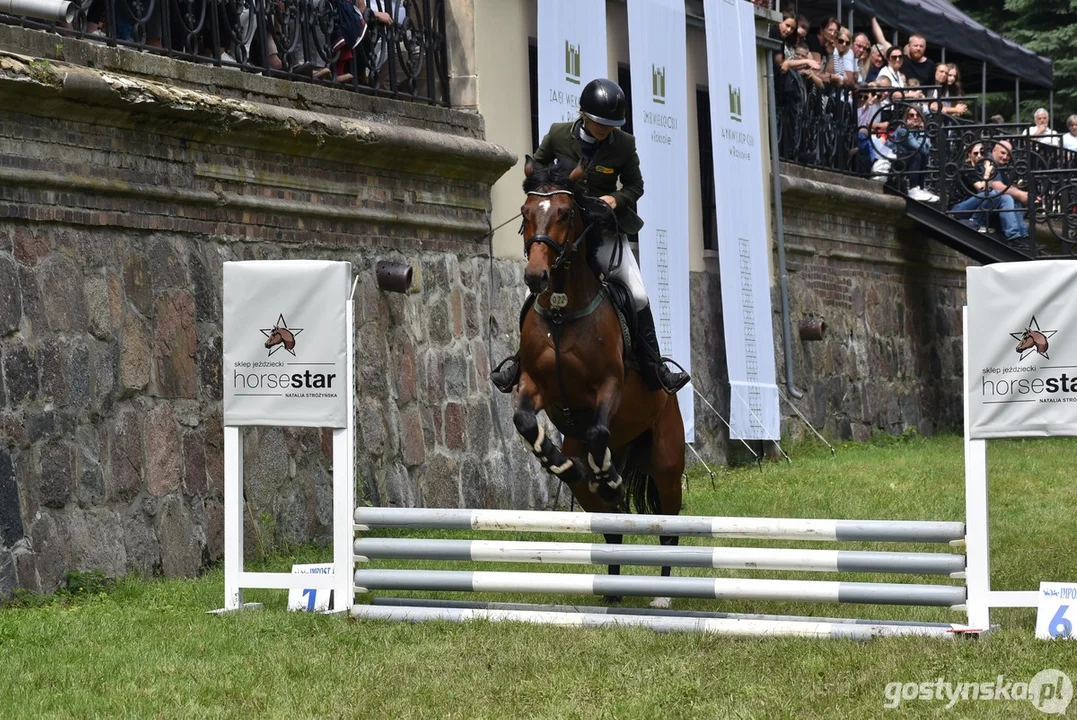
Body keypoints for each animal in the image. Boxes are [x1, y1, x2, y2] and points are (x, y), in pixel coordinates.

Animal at [510, 158, 680, 606]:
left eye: (565, 214)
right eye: (525, 213)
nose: (536, 276)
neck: (561, 312)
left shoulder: (609, 387)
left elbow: (600, 428)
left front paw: (607, 475)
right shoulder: (535, 384)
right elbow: (525, 422)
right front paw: (560, 464)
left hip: (666, 461)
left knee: (670, 524)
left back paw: (664, 594)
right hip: (596, 488)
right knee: (612, 523)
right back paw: (612, 589)